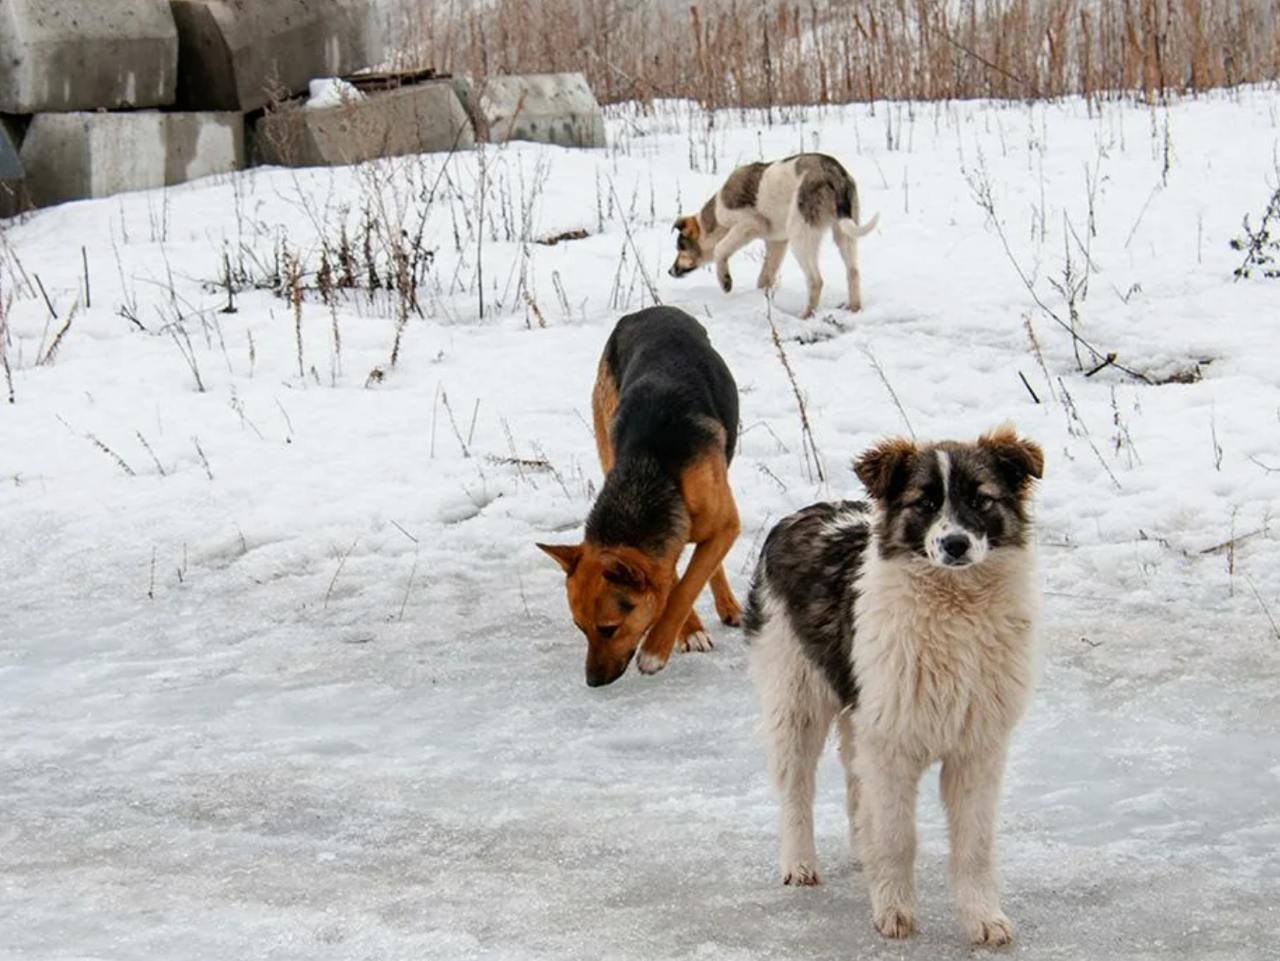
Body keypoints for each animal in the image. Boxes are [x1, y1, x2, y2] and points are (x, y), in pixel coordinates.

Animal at [537, 305, 742, 685]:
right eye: (579, 627)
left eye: (608, 628)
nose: (592, 681)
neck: (649, 466)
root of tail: (650, 310)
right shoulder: (663, 548)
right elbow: (670, 582)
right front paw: (687, 630)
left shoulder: (726, 525)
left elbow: (687, 585)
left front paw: (655, 650)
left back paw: (729, 606)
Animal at [747, 427, 1044, 946]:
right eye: (923, 503)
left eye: (980, 499)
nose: (955, 544)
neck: (955, 606)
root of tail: (797, 515)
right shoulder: (890, 744)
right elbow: (897, 836)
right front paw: (894, 911)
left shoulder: (976, 747)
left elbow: (974, 845)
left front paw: (983, 918)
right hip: (796, 696)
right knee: (796, 787)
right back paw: (799, 863)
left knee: (853, 783)